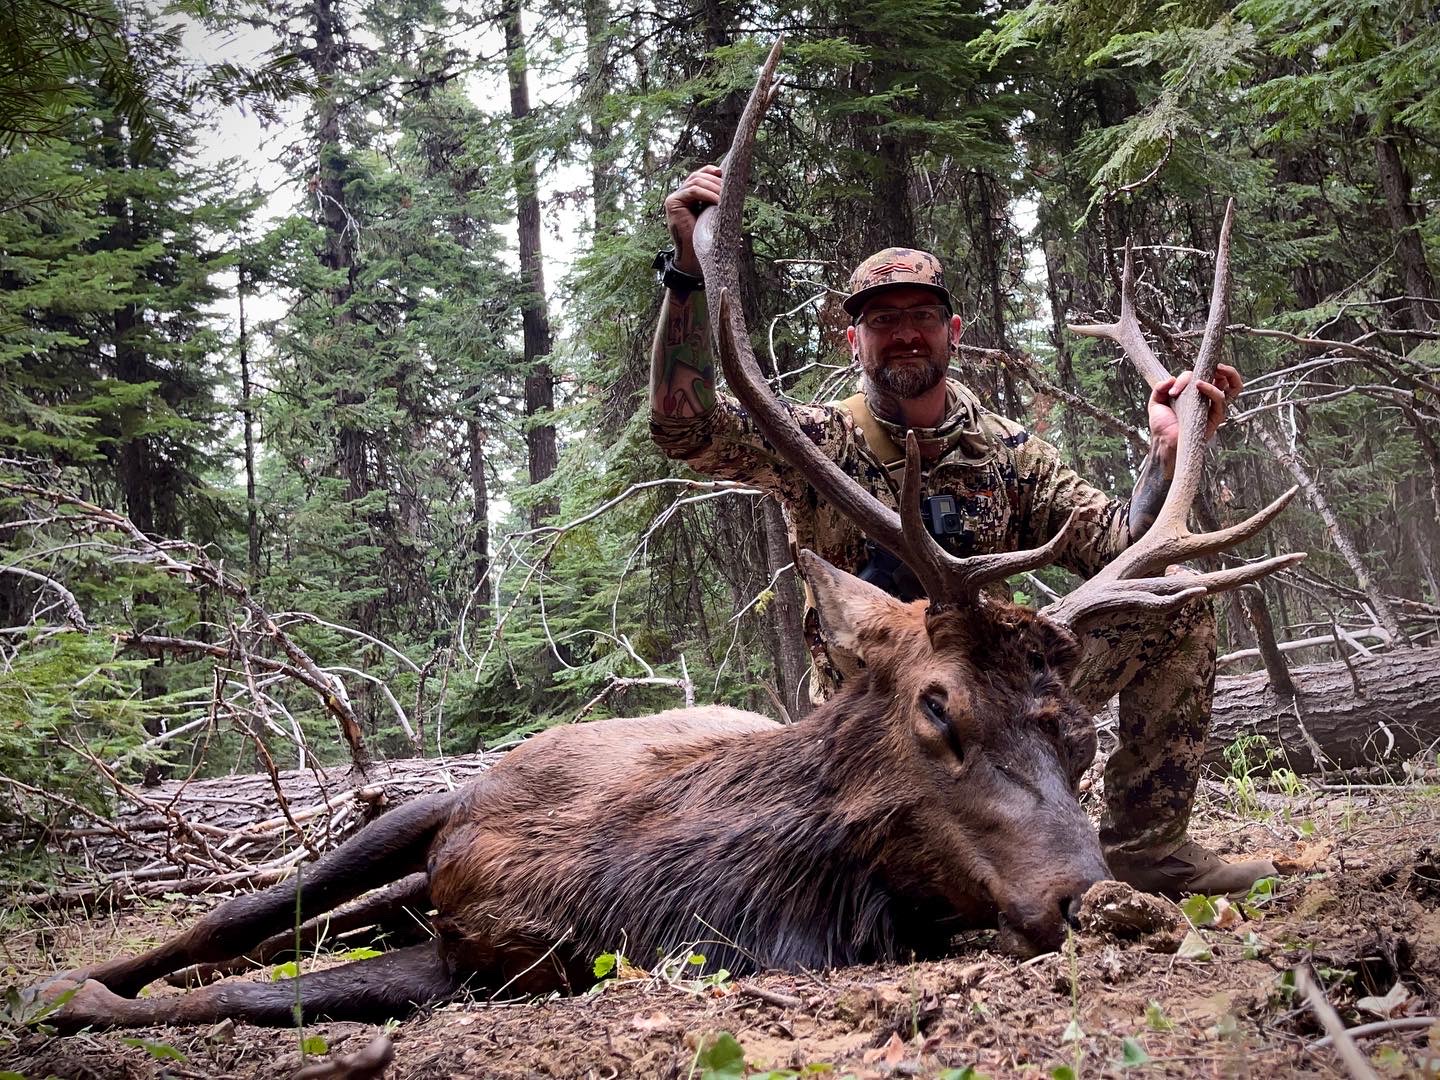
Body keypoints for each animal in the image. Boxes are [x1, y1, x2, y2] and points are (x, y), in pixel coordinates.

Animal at [35, 40, 1302, 1031]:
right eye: (937, 706)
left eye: (1076, 732)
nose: (1105, 899)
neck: (671, 873)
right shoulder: (468, 837)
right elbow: (229, 945)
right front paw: (73, 989)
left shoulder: (522, 959)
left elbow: (280, 983)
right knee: (270, 918)